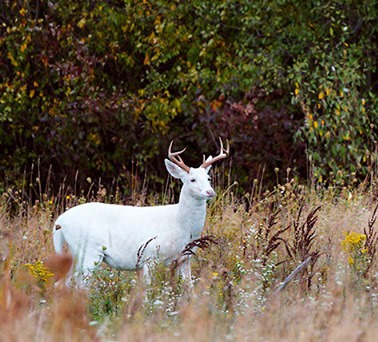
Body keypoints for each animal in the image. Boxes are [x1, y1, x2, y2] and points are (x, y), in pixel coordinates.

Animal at [52, 138, 229, 284]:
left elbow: (189, 290)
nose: (210, 192)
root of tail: (60, 221)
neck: (180, 224)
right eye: (192, 179)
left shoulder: (184, 258)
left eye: (208, 179)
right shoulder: (150, 257)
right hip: (89, 251)